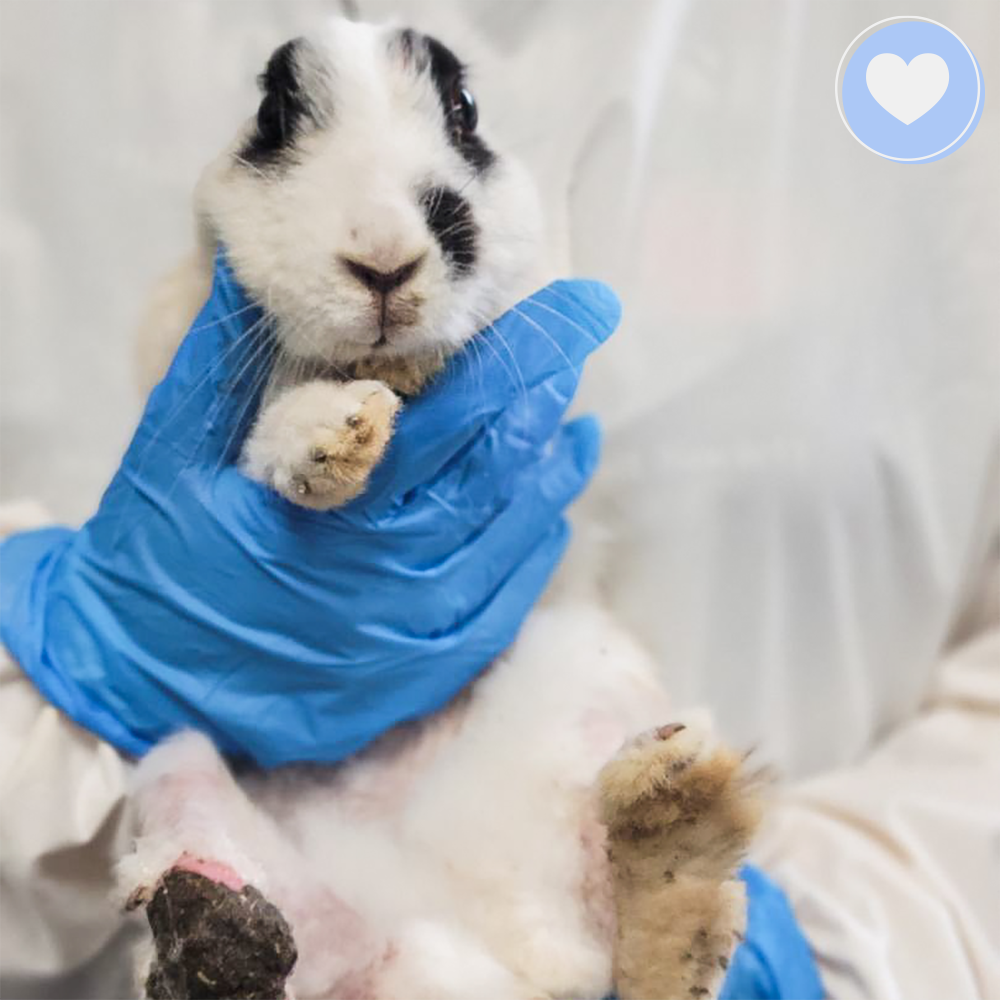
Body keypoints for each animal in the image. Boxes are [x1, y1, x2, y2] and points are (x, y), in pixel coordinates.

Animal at [122, 18, 760, 1000]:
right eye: (274, 116)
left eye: (464, 114)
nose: (384, 261)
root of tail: (501, 955)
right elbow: (277, 442)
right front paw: (335, 438)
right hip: (182, 768)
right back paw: (217, 931)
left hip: (586, 682)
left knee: (634, 951)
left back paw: (675, 842)